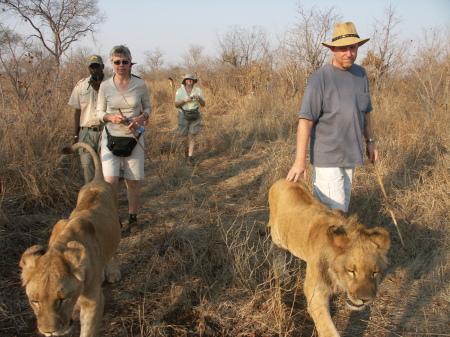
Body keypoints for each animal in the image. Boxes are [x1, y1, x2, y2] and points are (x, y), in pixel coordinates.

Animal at [19, 143, 121, 336]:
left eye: (62, 298)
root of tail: (97, 180)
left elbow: (87, 330)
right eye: (35, 301)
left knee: (113, 252)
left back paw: (112, 273)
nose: (49, 331)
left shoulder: (93, 302)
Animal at [268, 178, 390, 336]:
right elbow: (327, 328)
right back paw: (282, 275)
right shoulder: (315, 292)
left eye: (374, 272)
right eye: (351, 271)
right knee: (276, 249)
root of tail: (282, 179)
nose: (365, 300)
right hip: (279, 235)